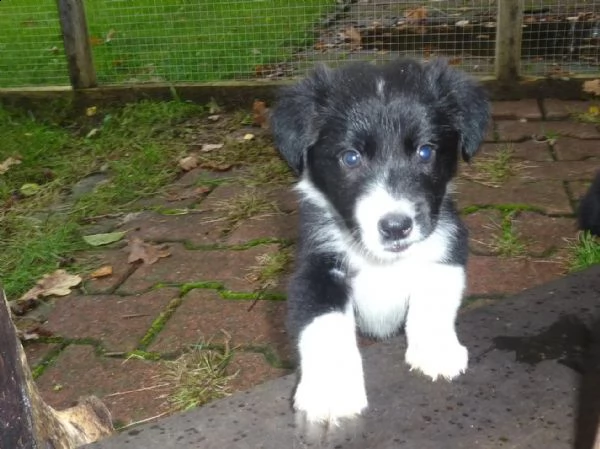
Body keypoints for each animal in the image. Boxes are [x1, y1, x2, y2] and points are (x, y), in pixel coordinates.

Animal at [270, 57, 490, 426]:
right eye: (350, 157)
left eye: (425, 152)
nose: (396, 227)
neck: (383, 263)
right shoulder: (317, 268)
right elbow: (324, 325)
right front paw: (331, 391)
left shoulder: (447, 244)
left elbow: (433, 301)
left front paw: (436, 350)